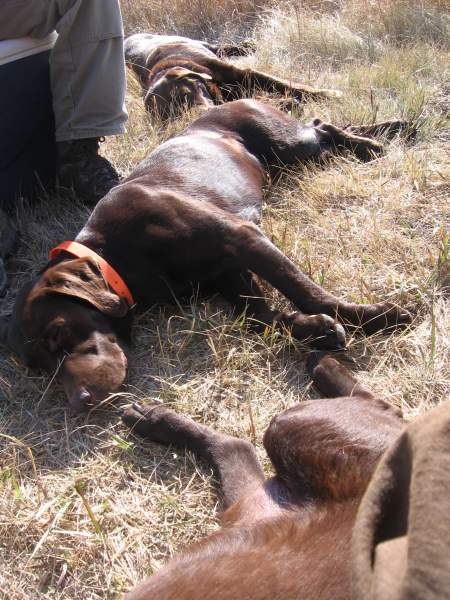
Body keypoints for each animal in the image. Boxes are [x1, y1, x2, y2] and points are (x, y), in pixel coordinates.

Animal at [4, 99, 412, 412]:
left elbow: (304, 289)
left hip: (291, 144)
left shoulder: (243, 238)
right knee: (324, 130)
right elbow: (260, 317)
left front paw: (373, 317)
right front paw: (317, 328)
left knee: (321, 125)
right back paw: (389, 131)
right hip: (294, 160)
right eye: (41, 369)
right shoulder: (227, 273)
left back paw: (373, 143)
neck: (115, 253)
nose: (80, 401)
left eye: (58, 334)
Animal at [120, 354, 404, 596]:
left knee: (386, 406)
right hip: (252, 500)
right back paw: (153, 419)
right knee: (235, 445)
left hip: (292, 426)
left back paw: (324, 365)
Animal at [124, 33, 342, 120]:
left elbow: (291, 86)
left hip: (195, 42)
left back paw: (247, 46)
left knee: (220, 47)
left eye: (185, 95)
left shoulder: (245, 74)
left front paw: (329, 94)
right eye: (172, 115)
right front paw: (287, 104)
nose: (199, 116)